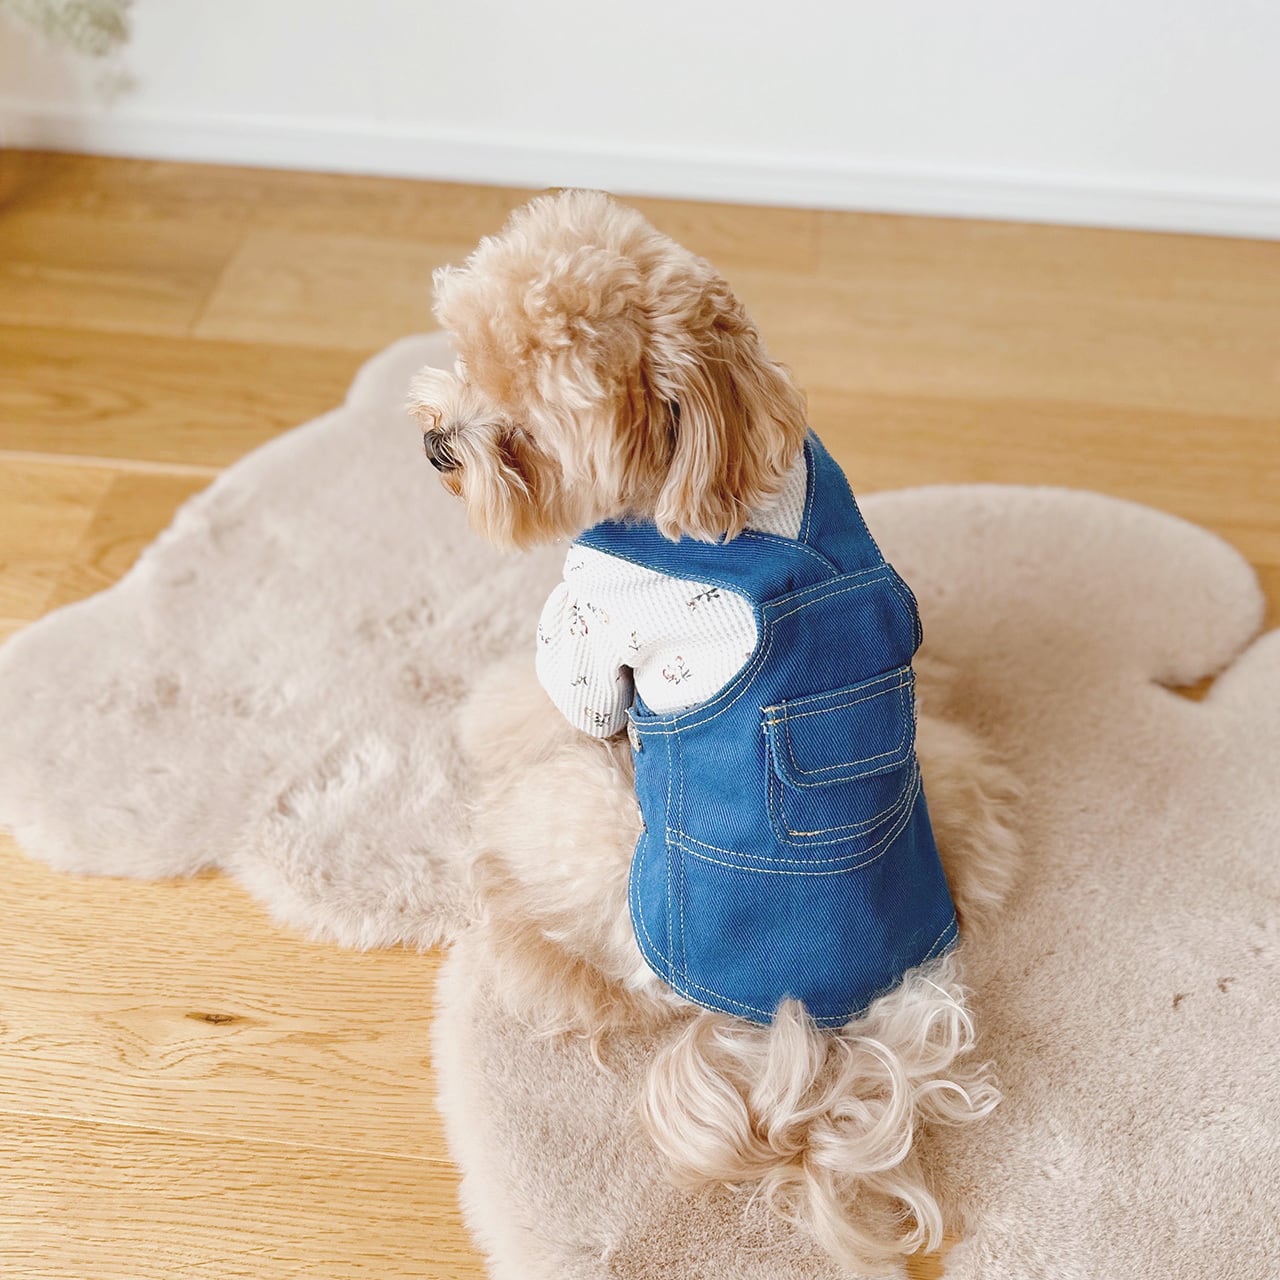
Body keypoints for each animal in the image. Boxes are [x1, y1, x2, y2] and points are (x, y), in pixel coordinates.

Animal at [410, 189, 1023, 1272]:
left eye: (523, 433)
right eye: (465, 354)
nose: (439, 441)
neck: (711, 479)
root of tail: (813, 1028)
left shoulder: (591, 624)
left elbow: (543, 698)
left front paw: (486, 712)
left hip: (592, 826)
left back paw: (516, 931)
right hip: (930, 800)